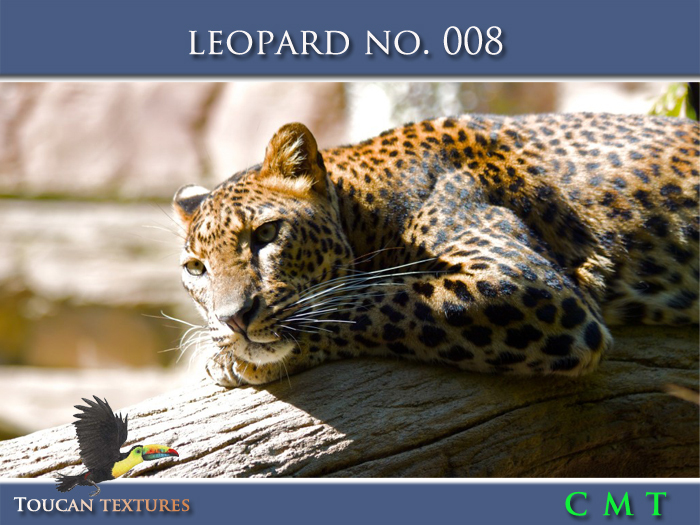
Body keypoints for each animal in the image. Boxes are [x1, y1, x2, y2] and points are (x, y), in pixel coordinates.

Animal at [173, 113, 699, 386]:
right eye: (196, 268)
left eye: (266, 234)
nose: (233, 320)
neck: (367, 208)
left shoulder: (525, 282)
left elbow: (381, 299)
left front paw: (236, 358)